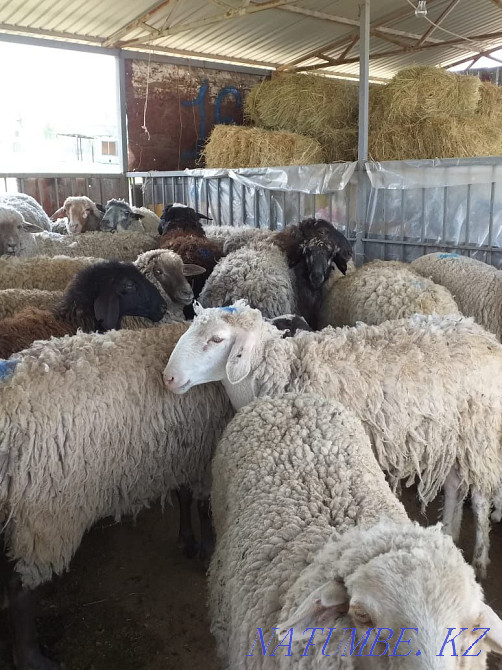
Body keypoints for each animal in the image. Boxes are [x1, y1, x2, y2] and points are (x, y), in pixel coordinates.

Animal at [0, 322, 233, 669]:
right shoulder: (204, 456)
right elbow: (203, 506)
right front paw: (205, 549)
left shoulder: (181, 451)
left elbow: (183, 497)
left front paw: (186, 540)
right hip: (43, 512)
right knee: (21, 587)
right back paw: (31, 656)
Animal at [164, 302, 502, 578]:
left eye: (216, 339)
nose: (168, 377)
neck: (284, 371)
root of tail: (482, 334)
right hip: (454, 435)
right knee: (456, 485)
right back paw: (450, 535)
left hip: (479, 431)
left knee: (480, 496)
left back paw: (481, 558)